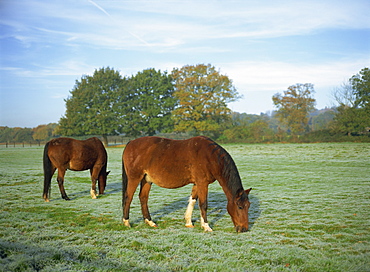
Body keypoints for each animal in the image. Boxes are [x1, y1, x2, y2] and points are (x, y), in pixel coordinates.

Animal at [123, 136, 253, 232]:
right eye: (240, 207)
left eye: (248, 206)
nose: (244, 229)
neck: (210, 157)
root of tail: (130, 143)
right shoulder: (202, 183)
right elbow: (203, 204)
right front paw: (206, 226)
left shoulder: (197, 184)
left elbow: (193, 201)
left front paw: (190, 222)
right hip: (134, 178)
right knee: (128, 197)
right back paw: (126, 222)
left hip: (147, 180)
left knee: (143, 198)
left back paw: (150, 222)